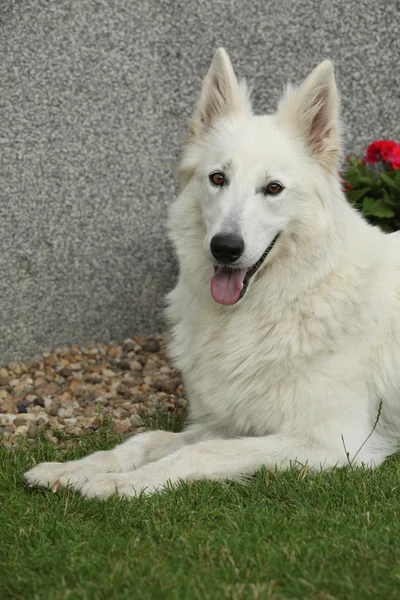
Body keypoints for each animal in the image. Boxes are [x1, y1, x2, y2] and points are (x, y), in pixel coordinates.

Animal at [25, 47, 400, 500]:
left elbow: (199, 453)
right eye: (218, 178)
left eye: (273, 188)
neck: (286, 299)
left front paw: (122, 484)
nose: (225, 247)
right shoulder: (224, 422)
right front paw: (74, 469)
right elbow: (146, 440)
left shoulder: (332, 443)